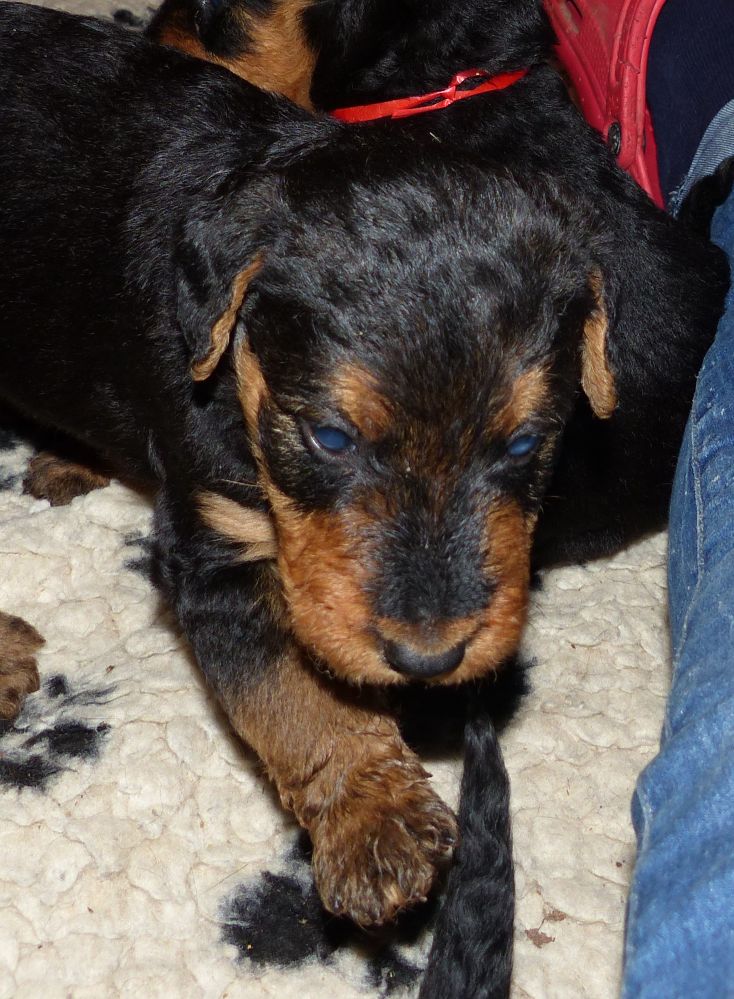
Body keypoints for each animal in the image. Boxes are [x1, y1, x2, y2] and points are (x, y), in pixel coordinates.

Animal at [0, 3, 645, 943]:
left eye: (525, 444)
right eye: (332, 437)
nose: (429, 655)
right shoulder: (217, 552)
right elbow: (293, 691)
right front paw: (377, 824)